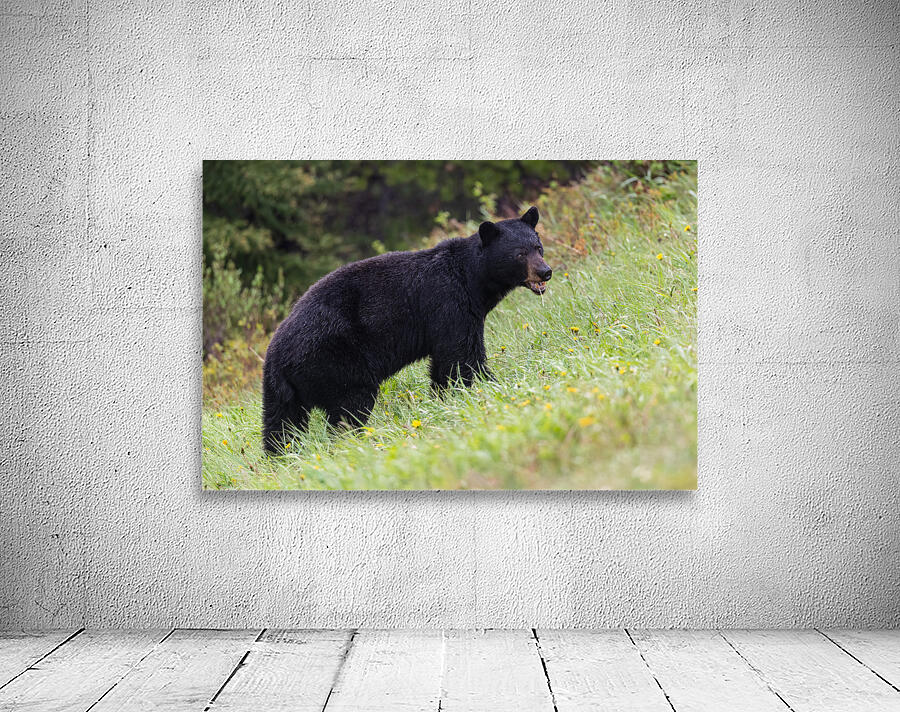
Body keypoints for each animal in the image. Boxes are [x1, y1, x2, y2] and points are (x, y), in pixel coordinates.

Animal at [262, 206, 553, 453]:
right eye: (519, 253)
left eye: (538, 247)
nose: (545, 272)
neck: (473, 279)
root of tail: (277, 355)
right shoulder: (450, 304)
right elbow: (462, 356)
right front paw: (491, 386)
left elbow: (446, 363)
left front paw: (445, 398)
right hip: (335, 360)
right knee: (350, 406)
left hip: (282, 390)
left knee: (281, 425)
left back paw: (281, 456)